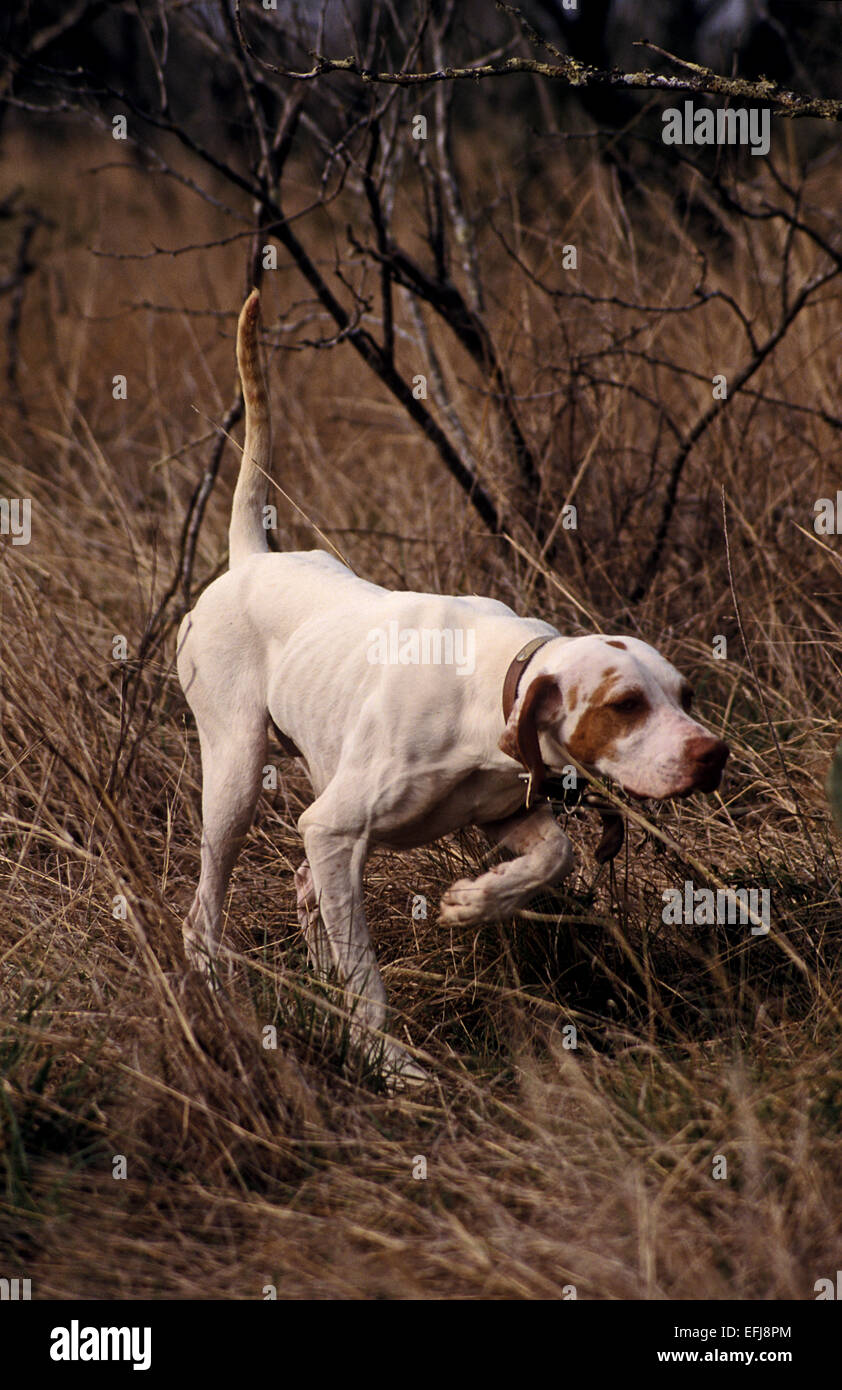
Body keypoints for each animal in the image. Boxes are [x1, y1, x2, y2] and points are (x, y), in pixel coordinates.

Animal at [179, 287, 733, 1078]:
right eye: (626, 705)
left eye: (686, 698)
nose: (713, 755)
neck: (489, 691)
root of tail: (250, 559)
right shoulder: (334, 828)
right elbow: (366, 976)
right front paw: (385, 1059)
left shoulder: (503, 813)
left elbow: (556, 854)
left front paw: (477, 901)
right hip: (233, 777)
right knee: (205, 910)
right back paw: (214, 990)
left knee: (307, 892)